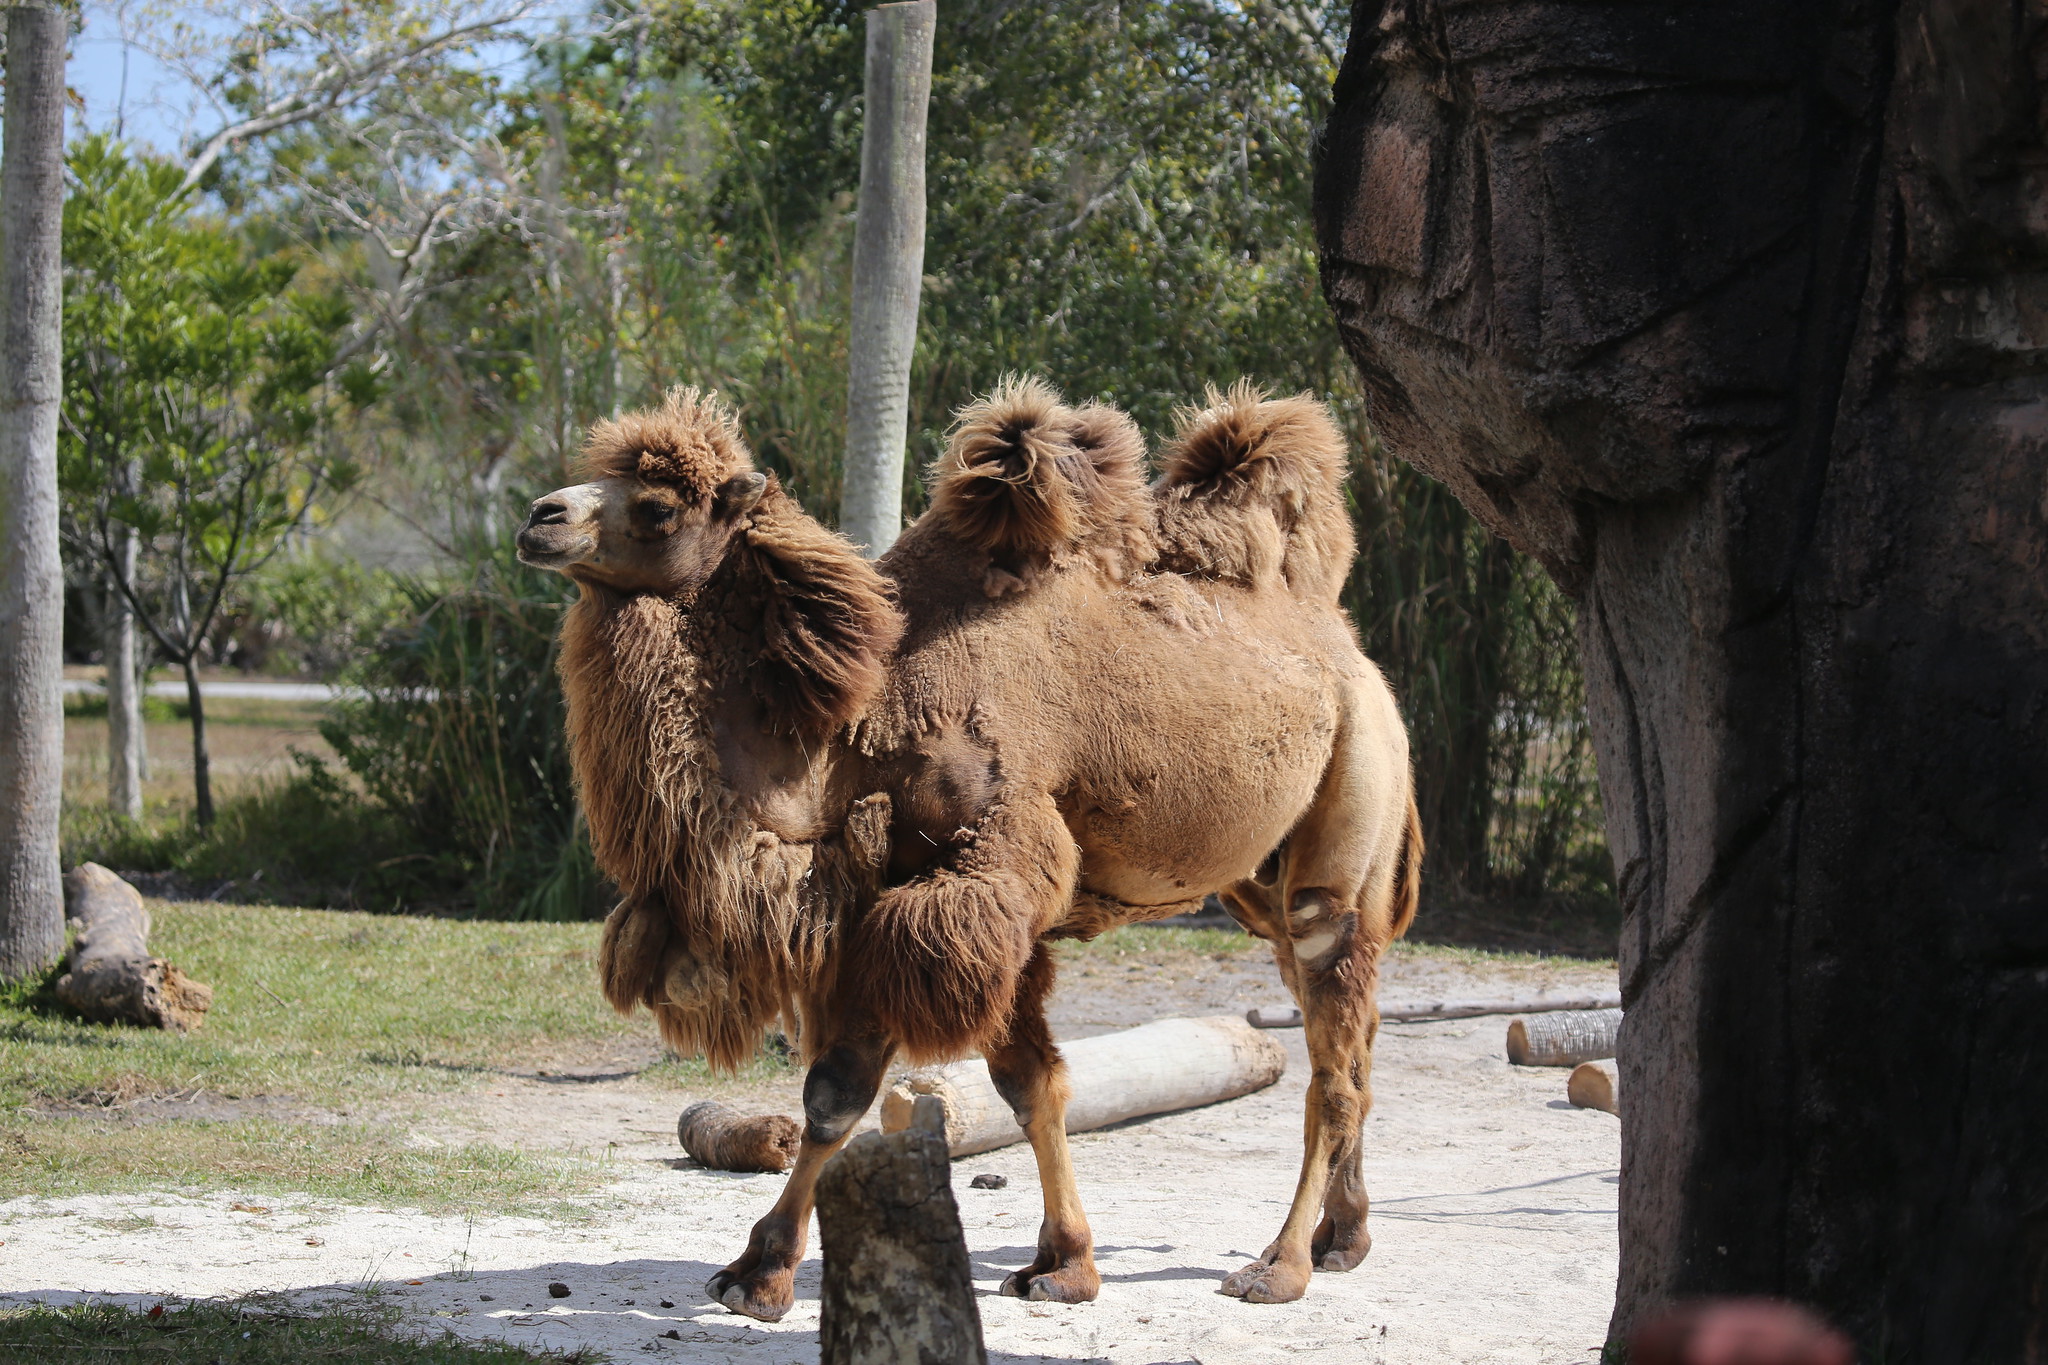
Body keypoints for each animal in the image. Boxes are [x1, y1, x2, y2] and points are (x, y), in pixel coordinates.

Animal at [512, 378, 1417, 1317]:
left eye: (657, 506)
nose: (540, 517)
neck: (857, 724)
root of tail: (1355, 657)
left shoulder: (969, 887)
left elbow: (855, 1093)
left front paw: (760, 1274)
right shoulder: (911, 907)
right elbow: (998, 1087)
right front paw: (1060, 1261)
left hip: (1347, 820)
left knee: (1331, 1059)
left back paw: (1281, 1264)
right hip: (1256, 884)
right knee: (1352, 1033)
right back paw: (1344, 1237)